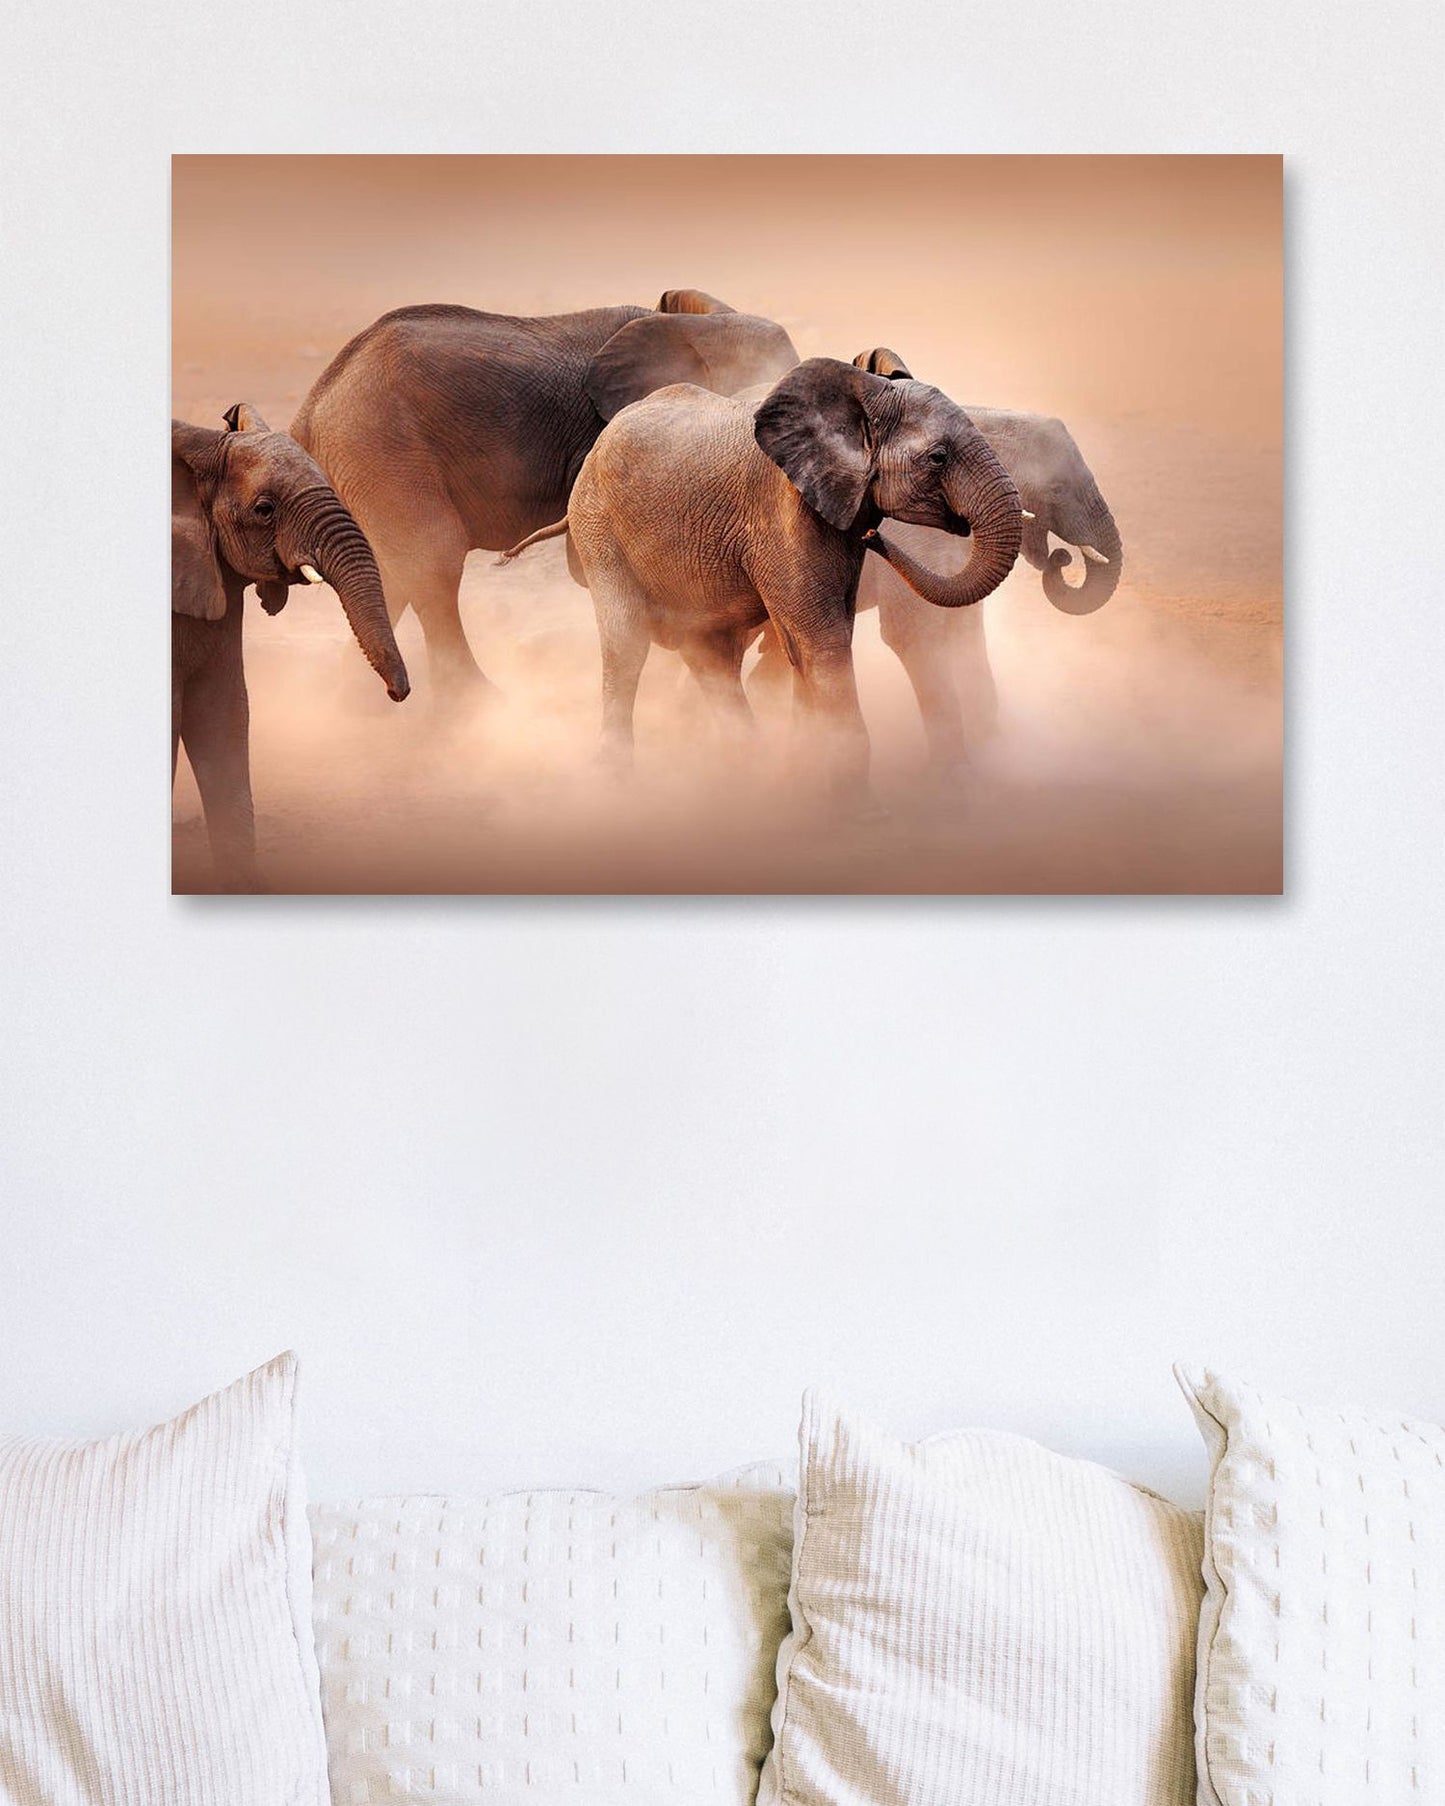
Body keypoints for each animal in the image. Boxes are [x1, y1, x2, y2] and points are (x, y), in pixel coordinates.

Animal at [290, 289, 800, 702]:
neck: (697, 324)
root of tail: (309, 412)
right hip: (381, 447)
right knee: (431, 560)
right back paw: (477, 707)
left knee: (392, 572)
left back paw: (359, 704)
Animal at [503, 357, 1022, 801]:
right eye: (938, 458)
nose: (876, 535)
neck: (862, 393)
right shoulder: (780, 515)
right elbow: (821, 641)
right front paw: (858, 810)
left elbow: (811, 643)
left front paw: (808, 777)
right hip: (598, 526)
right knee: (627, 644)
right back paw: (620, 781)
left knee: (711, 653)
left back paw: (747, 772)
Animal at [748, 348, 1124, 771]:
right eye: (1056, 488)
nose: (1061, 559)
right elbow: (914, 634)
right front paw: (956, 774)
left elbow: (965, 630)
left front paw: (993, 751)